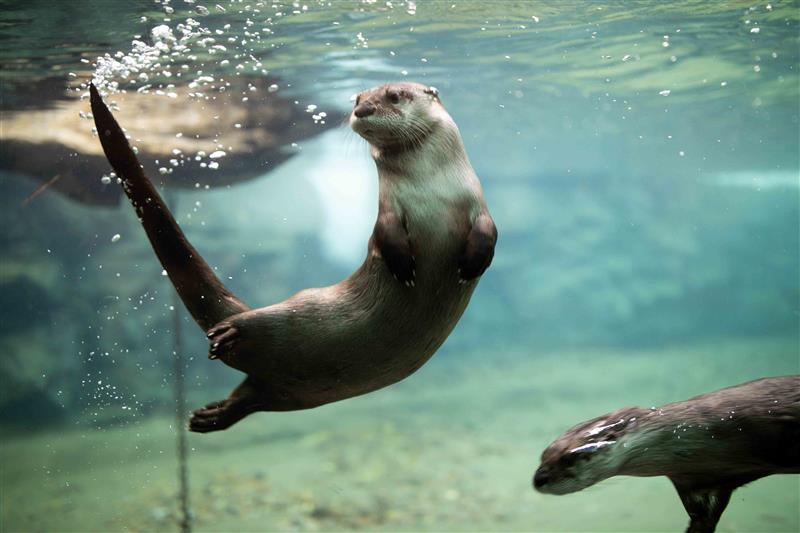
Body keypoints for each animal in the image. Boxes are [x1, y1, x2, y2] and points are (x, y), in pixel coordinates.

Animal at [89, 81, 496, 433]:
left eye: (394, 95)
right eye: (357, 97)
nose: (362, 109)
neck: (432, 190)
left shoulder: (477, 204)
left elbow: (490, 235)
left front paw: (472, 264)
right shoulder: (388, 212)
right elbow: (386, 239)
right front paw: (404, 267)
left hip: (289, 393)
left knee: (250, 396)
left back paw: (209, 417)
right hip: (295, 313)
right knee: (256, 327)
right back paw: (227, 334)